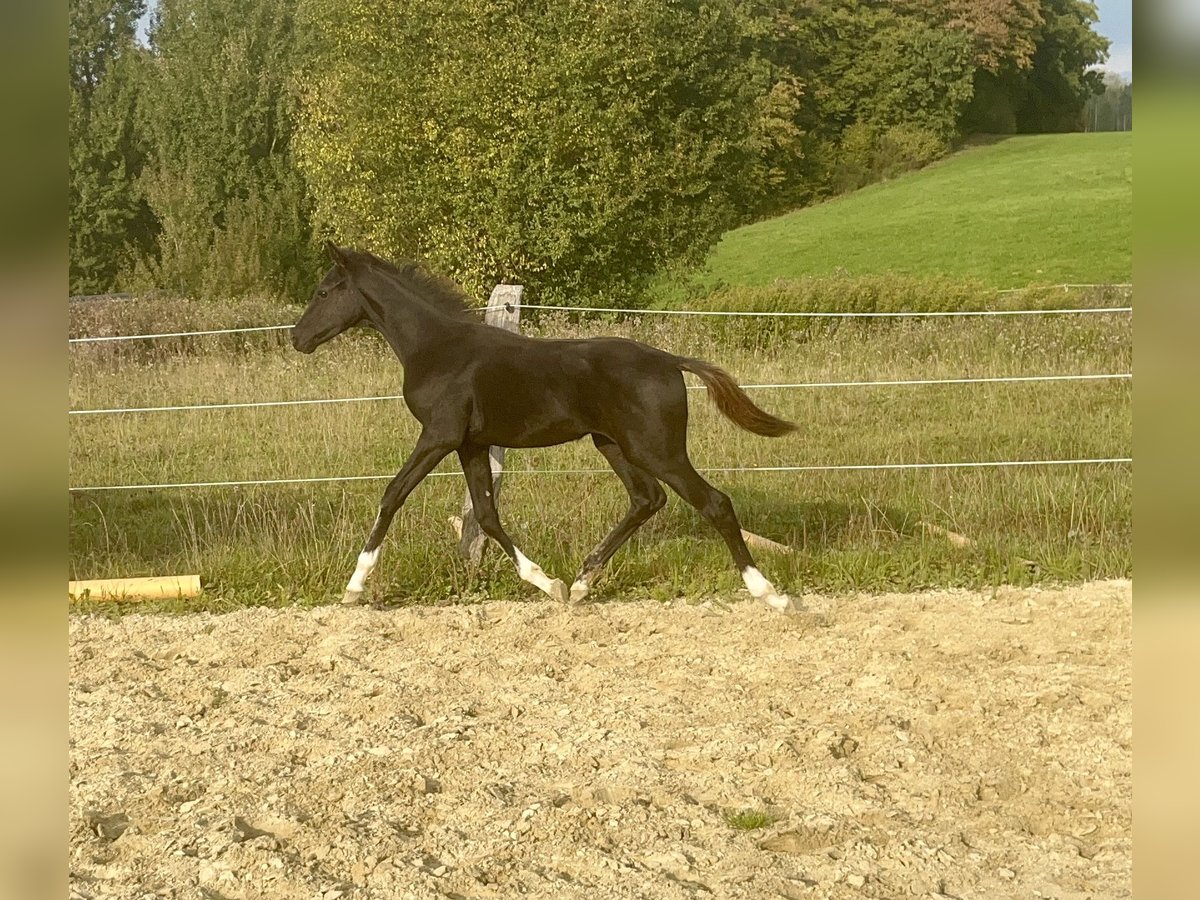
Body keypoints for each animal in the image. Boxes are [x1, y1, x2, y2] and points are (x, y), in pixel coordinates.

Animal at [292, 241, 799, 612]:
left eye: (323, 291)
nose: (297, 338)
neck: (436, 347)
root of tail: (669, 360)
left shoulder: (438, 435)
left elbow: (392, 494)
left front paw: (353, 586)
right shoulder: (470, 444)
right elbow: (486, 514)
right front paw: (548, 582)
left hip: (657, 448)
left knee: (714, 503)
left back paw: (770, 595)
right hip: (613, 444)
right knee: (647, 499)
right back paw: (581, 583)